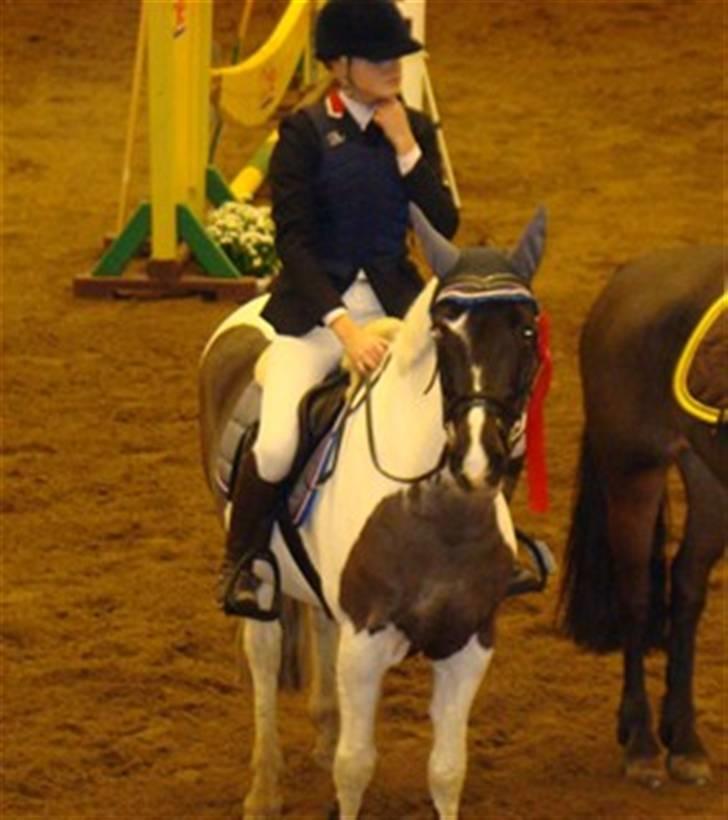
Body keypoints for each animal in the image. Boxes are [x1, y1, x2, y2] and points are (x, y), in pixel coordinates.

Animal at [199, 208, 544, 816]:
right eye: (443, 334)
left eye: (527, 331)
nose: (479, 458)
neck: (438, 521)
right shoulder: (365, 646)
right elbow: (355, 766)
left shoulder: (470, 644)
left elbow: (447, 771)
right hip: (259, 579)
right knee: (263, 657)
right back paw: (264, 789)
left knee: (318, 622)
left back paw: (322, 731)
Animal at [560, 245, 724, 788]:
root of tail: (630, 275)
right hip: (634, 469)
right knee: (636, 595)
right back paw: (643, 742)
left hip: (709, 477)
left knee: (687, 585)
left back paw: (685, 738)